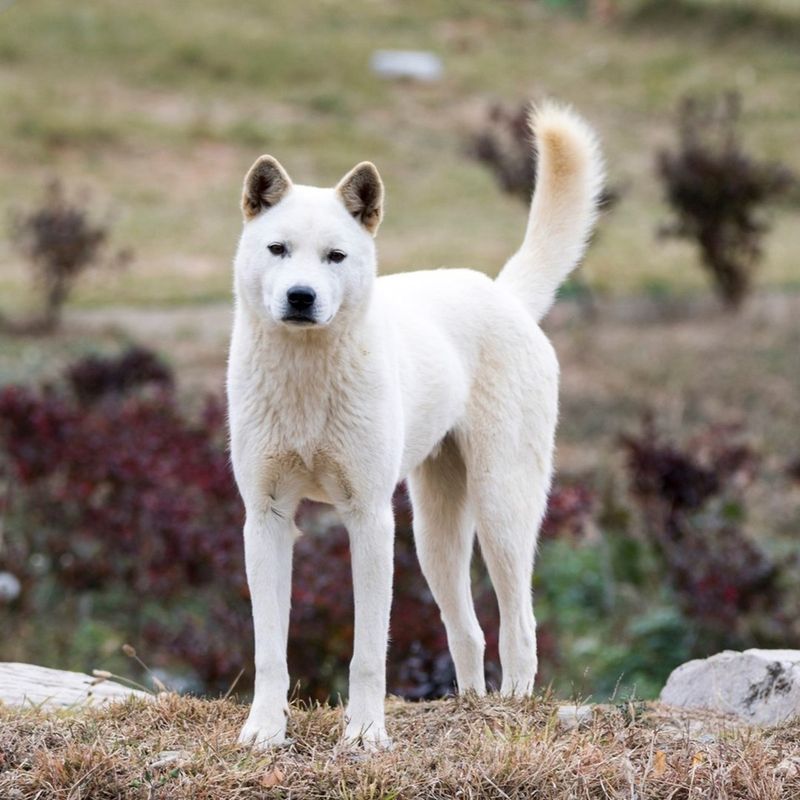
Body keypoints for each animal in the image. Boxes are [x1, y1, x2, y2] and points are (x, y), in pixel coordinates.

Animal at [228, 101, 604, 752]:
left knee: (520, 625)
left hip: (502, 511)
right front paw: (264, 732)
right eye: (277, 249)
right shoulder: (267, 517)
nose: (301, 297)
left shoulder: (370, 519)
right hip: (434, 537)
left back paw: (511, 709)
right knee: (469, 631)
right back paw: (471, 705)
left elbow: (367, 655)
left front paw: (364, 736)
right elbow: (270, 649)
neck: (306, 378)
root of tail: (503, 294)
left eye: (335, 257)